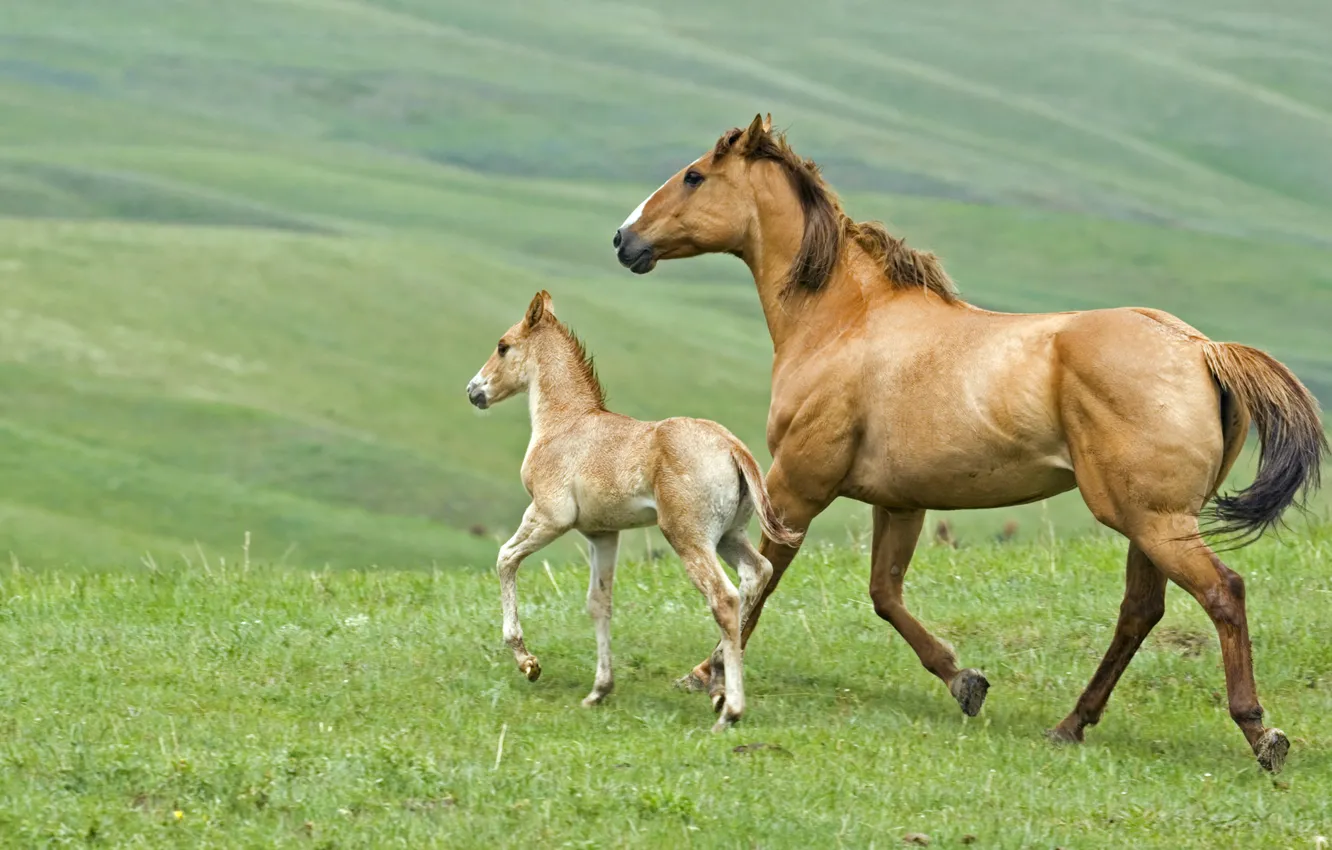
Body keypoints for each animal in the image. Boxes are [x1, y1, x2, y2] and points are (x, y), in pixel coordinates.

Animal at [466, 290, 801, 731]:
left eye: (503, 346)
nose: (474, 391)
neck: (565, 424)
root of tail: (733, 447)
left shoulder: (548, 516)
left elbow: (505, 559)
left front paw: (528, 663)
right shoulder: (602, 534)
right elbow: (599, 603)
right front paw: (598, 691)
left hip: (688, 537)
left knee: (724, 598)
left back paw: (729, 710)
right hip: (730, 536)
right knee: (757, 573)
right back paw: (715, 682)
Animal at [610, 114, 1326, 771]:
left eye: (695, 175)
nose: (623, 239)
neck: (842, 321)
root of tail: (1201, 348)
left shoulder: (796, 485)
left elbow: (761, 579)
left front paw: (705, 675)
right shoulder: (899, 502)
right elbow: (885, 594)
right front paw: (965, 682)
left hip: (1152, 520)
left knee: (1222, 593)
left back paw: (1260, 732)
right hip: (1149, 519)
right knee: (1141, 610)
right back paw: (1071, 725)